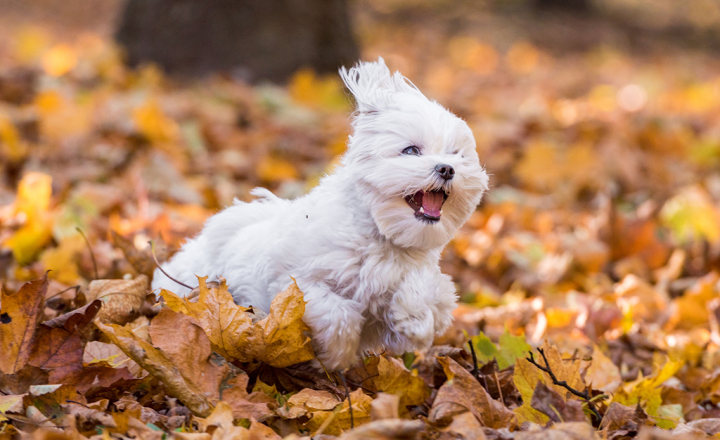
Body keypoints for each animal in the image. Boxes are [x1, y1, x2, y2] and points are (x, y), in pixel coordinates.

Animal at [152, 58, 490, 372]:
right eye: (411, 151)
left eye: (457, 155)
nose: (447, 169)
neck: (382, 238)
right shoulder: (295, 284)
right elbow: (336, 314)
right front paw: (333, 356)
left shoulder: (403, 301)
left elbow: (433, 294)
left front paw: (415, 317)